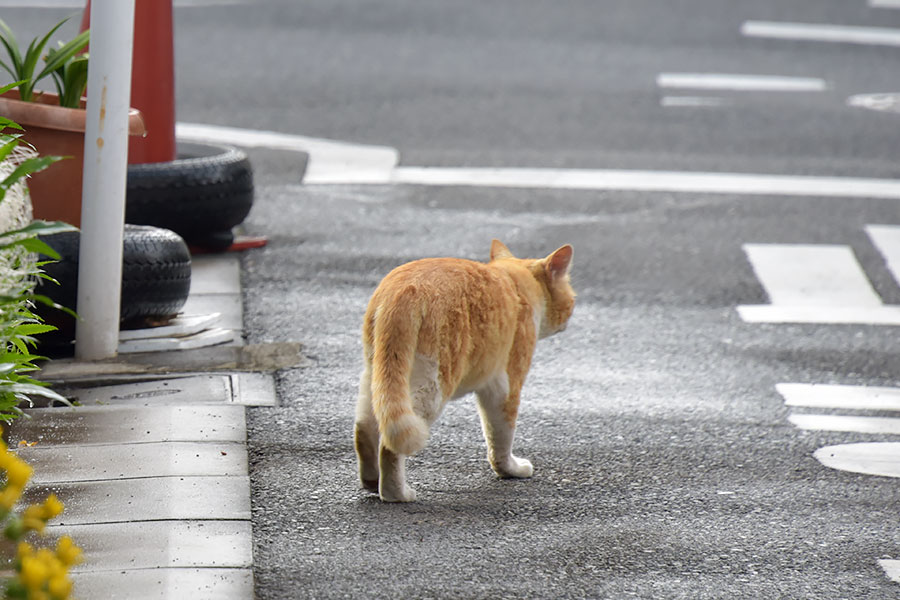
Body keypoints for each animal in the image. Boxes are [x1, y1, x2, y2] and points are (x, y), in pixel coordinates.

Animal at [354, 239, 576, 502]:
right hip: (432, 384)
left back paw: (371, 482)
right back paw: (396, 493)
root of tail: (402, 290)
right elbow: (501, 436)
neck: (515, 281)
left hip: (377, 375)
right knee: (390, 445)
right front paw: (510, 469)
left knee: (365, 427)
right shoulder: (506, 386)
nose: (569, 318)